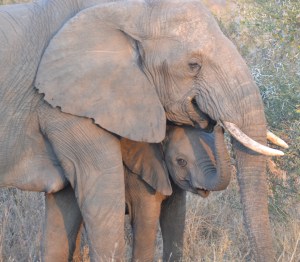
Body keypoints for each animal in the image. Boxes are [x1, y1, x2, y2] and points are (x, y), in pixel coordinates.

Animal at [0, 1, 286, 260]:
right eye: (193, 65)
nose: (215, 123)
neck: (128, 11)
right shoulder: (65, 107)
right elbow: (103, 194)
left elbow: (65, 208)